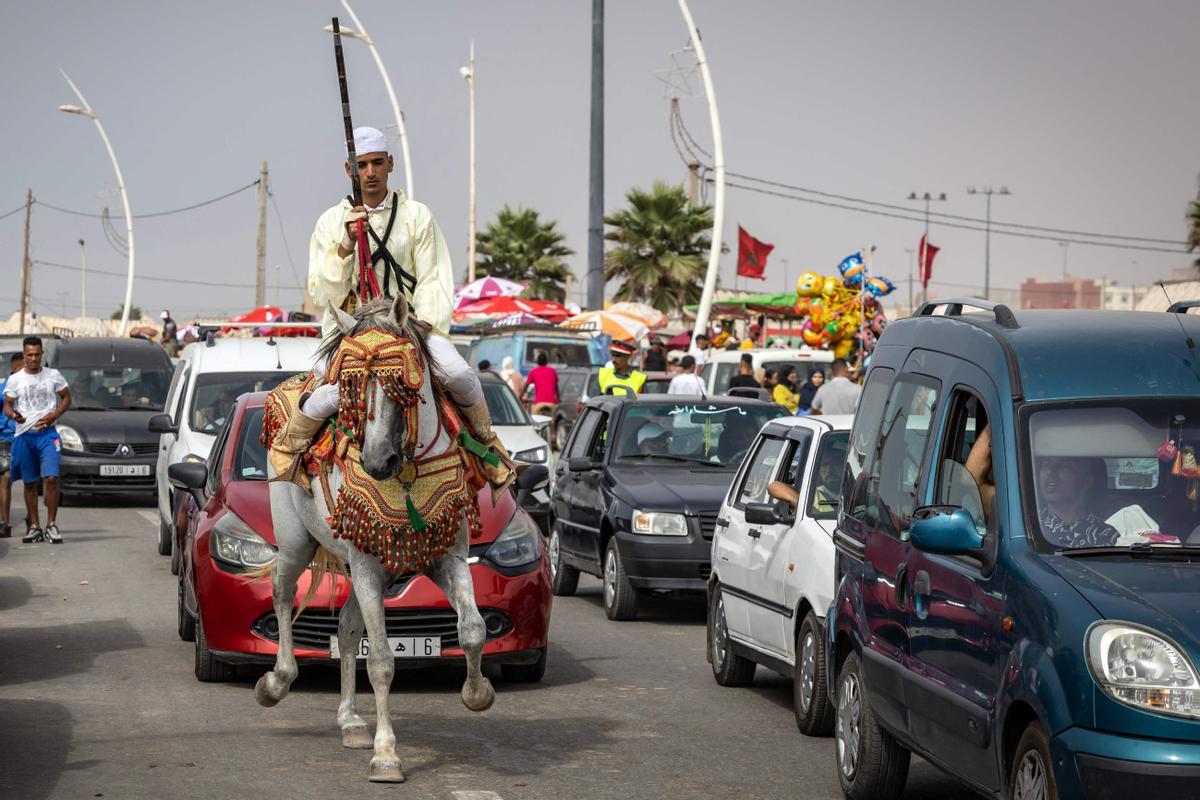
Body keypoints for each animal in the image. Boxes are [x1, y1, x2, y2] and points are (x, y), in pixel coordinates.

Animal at [255, 293, 494, 782]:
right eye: (350, 387)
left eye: (401, 383)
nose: (377, 461)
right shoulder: (366, 565)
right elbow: (382, 660)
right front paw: (387, 755)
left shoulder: (446, 556)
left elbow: (472, 629)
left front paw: (477, 693)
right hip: (297, 543)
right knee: (283, 593)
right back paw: (276, 681)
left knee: (346, 628)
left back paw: (350, 720)